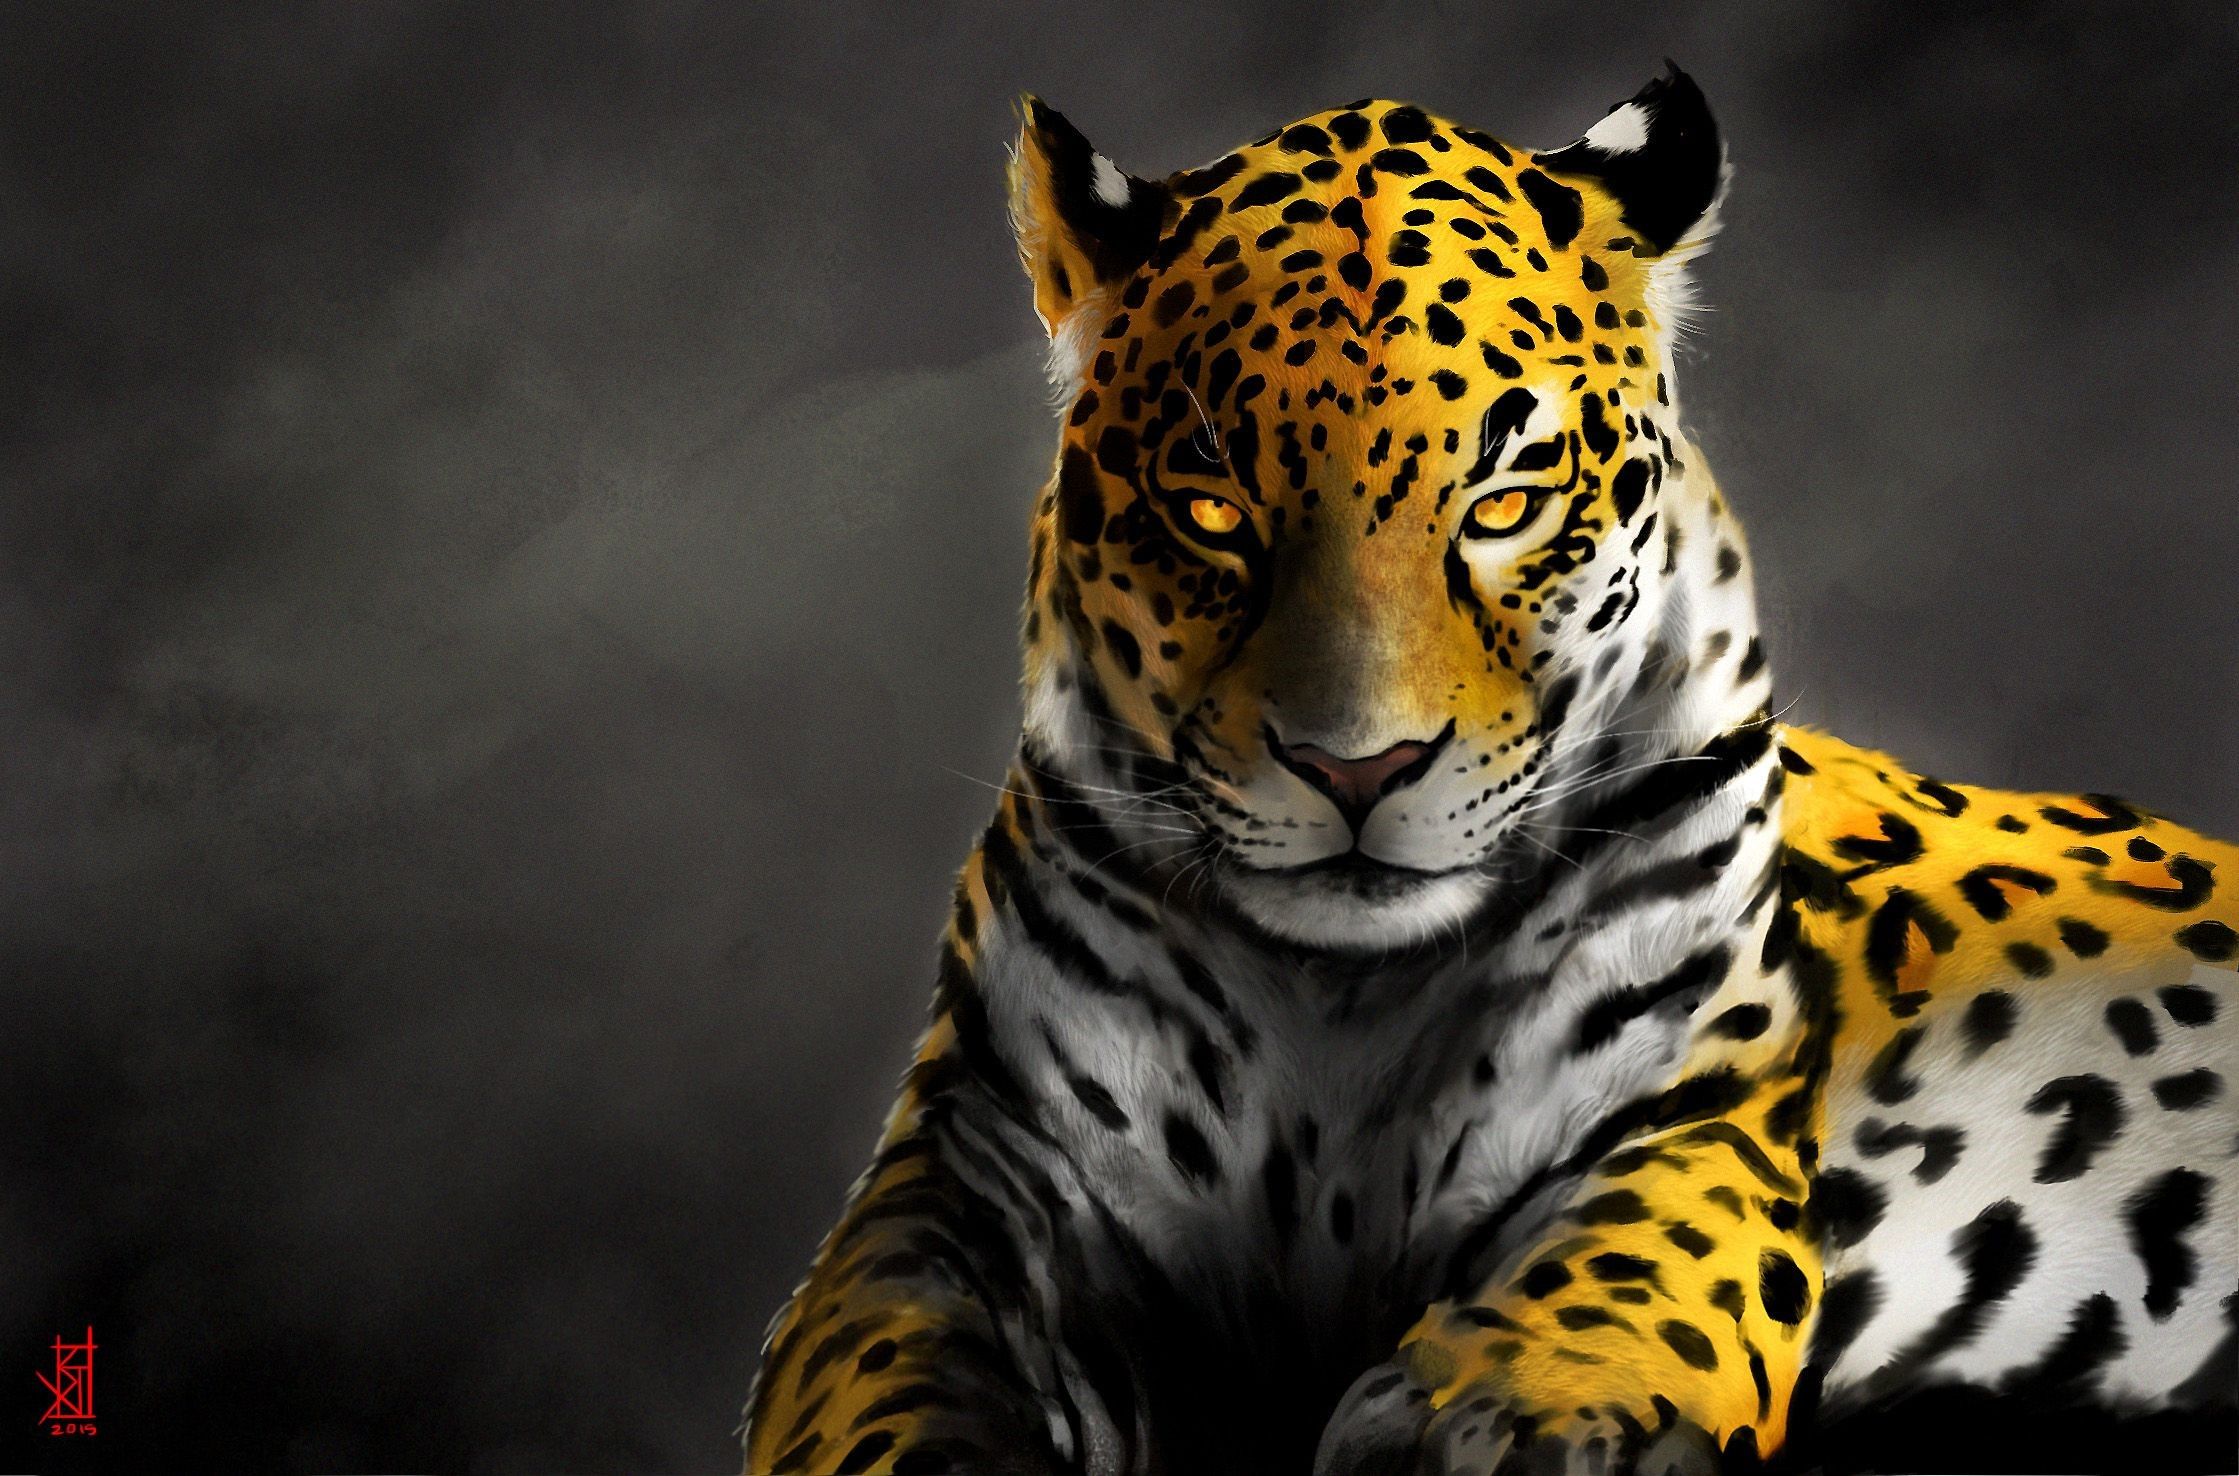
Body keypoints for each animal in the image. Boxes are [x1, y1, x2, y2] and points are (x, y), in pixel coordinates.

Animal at [740, 68, 2238, 1475]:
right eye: (1211, 510)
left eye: (1507, 502)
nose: (1355, 769)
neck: (1338, 1007)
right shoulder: (973, 1158)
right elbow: (875, 1349)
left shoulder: (1695, 1109)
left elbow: (1632, 1267)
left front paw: (1508, 1417)